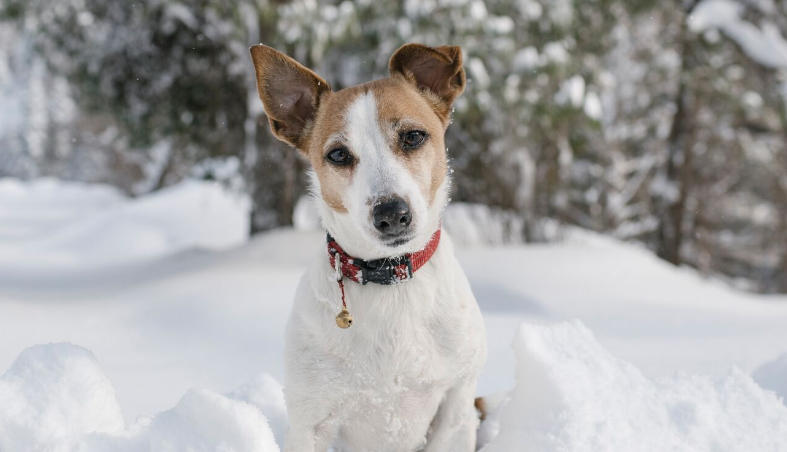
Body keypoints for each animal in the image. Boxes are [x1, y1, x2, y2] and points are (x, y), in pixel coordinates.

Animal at [252, 43, 486, 452]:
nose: (391, 214)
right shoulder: (310, 424)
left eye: (412, 136)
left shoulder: (456, 409)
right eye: (338, 155)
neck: (388, 276)